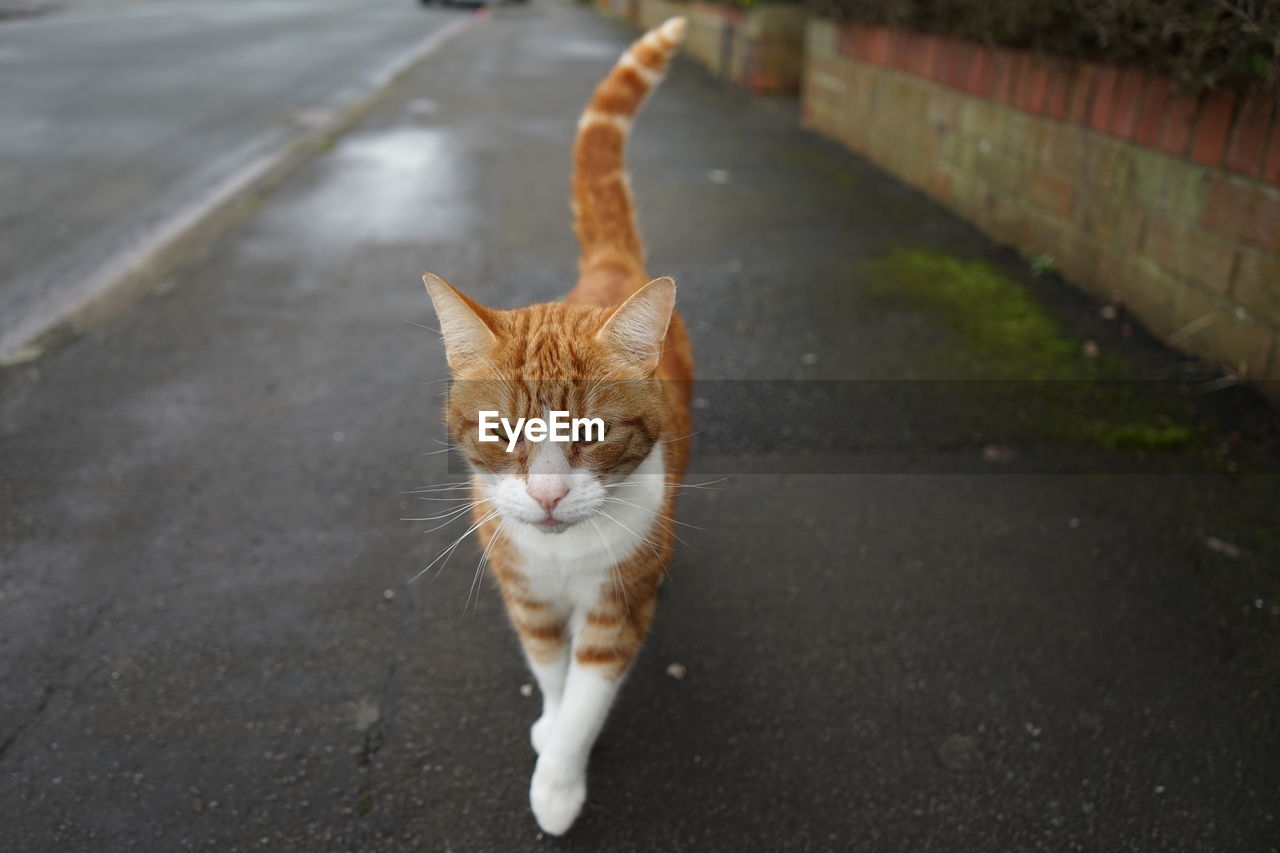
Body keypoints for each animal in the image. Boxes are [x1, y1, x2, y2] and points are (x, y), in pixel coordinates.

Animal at [422, 16, 696, 835]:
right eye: (497, 430)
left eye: (593, 435)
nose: (545, 495)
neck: (563, 556)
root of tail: (607, 268)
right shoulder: (528, 597)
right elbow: (550, 673)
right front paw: (548, 730)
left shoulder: (619, 608)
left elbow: (586, 697)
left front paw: (558, 784)